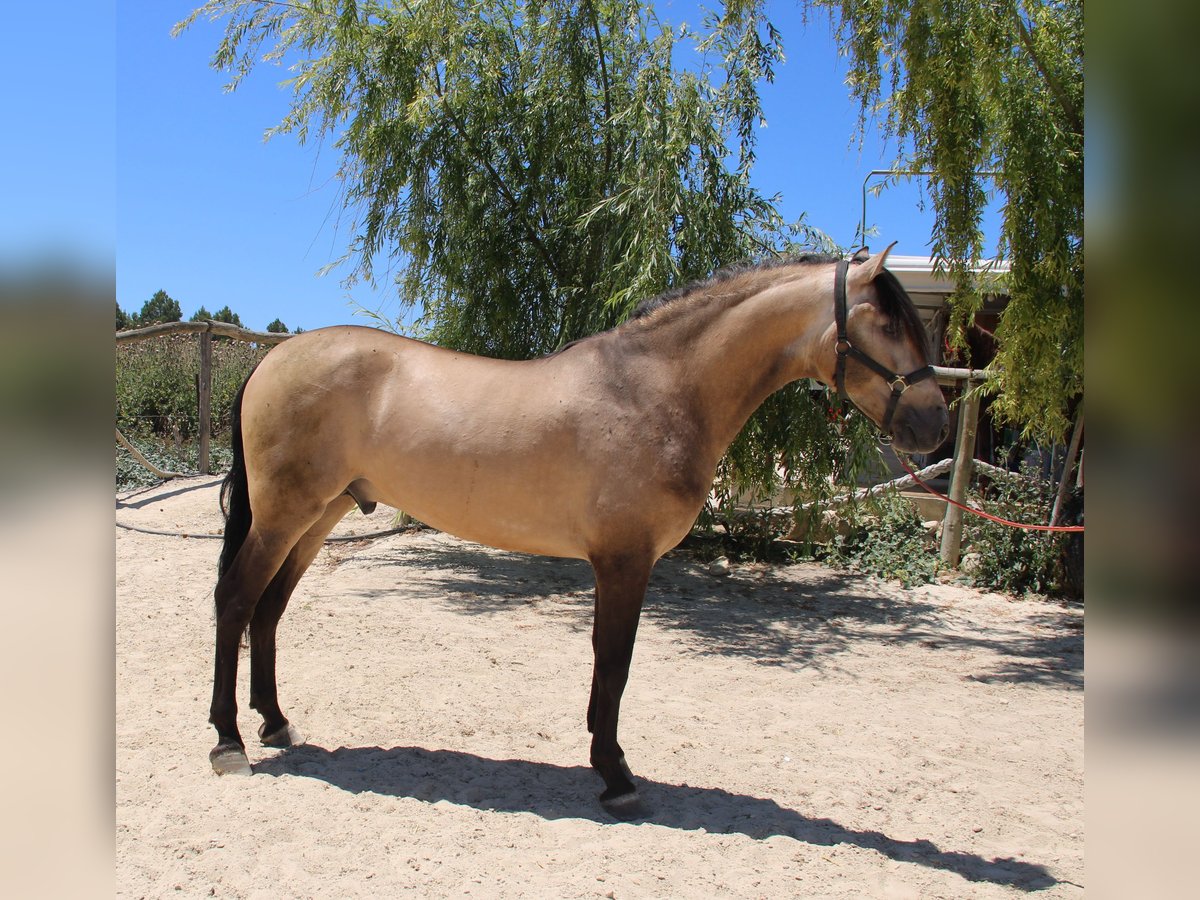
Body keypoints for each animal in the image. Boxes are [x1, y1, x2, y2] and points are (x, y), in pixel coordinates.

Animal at [211, 244, 950, 816]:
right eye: (886, 322)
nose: (935, 425)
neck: (658, 388)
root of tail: (273, 360)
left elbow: (609, 663)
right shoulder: (624, 560)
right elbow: (613, 662)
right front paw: (615, 775)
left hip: (318, 515)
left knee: (269, 611)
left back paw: (274, 722)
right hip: (285, 515)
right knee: (236, 601)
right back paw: (229, 741)